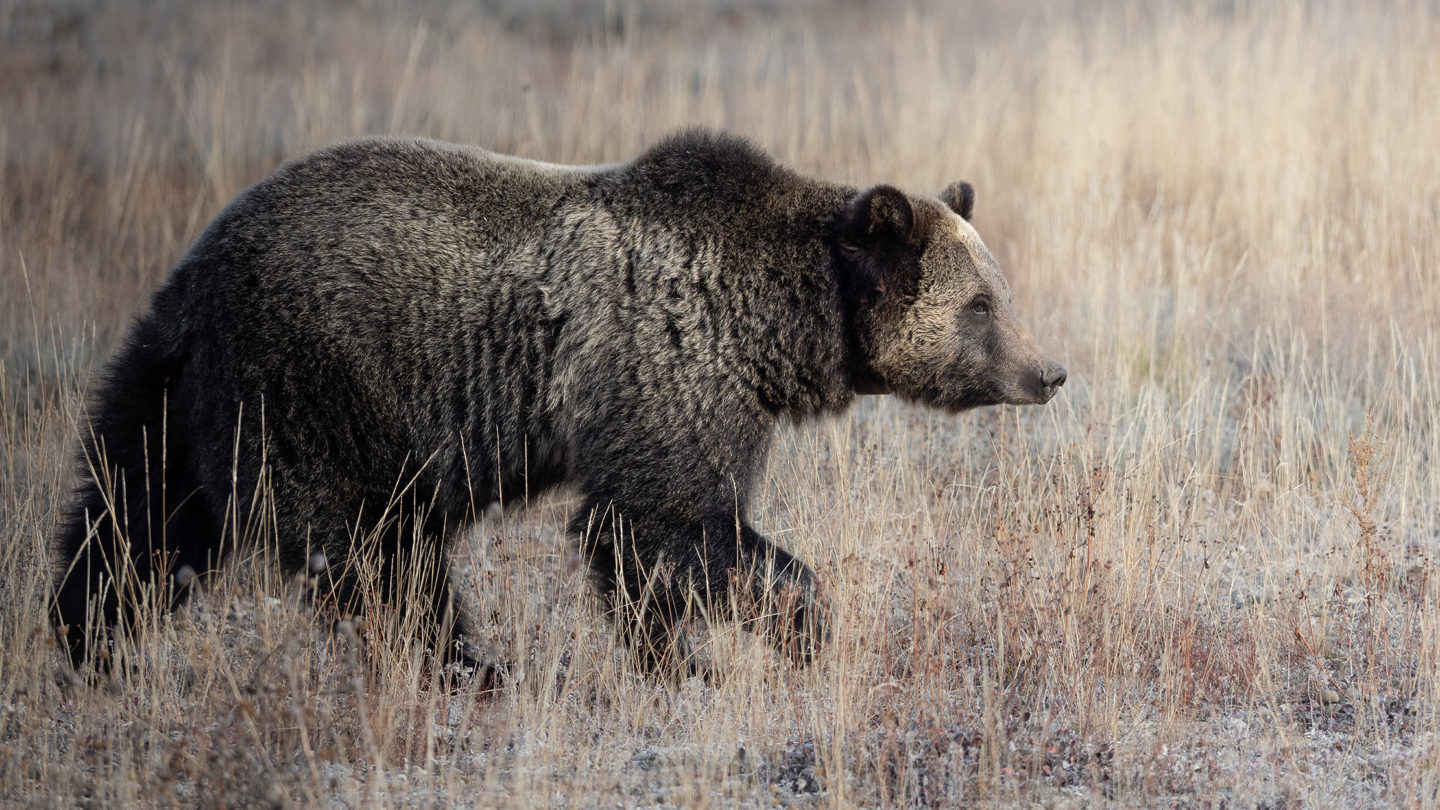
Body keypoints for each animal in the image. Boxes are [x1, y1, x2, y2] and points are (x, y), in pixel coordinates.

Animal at [53, 131, 1059, 674]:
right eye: (979, 305)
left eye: (1002, 290)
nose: (1049, 372)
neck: (779, 326)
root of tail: (199, 272)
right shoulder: (669, 368)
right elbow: (665, 527)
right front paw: (790, 633)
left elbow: (642, 554)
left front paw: (676, 658)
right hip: (319, 386)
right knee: (375, 560)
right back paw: (470, 670)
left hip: (179, 393)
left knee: (131, 521)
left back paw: (83, 647)